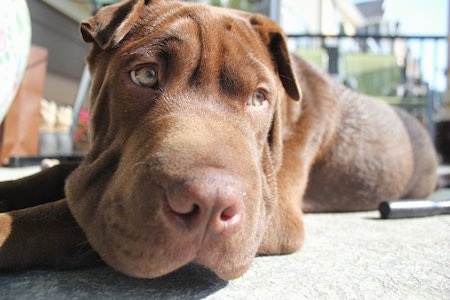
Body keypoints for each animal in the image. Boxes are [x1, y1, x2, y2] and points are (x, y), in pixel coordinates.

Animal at [0, 0, 436, 282]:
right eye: (144, 75)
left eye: (259, 98)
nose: (208, 205)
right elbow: (54, 175)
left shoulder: (273, 214)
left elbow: (61, 214)